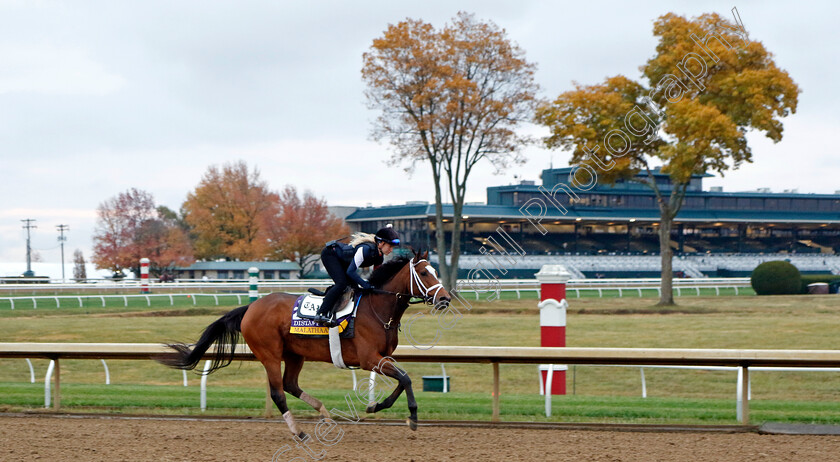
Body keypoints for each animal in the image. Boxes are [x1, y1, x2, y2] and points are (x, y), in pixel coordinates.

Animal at [157, 251, 446, 438]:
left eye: (435, 271)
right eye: (423, 272)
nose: (445, 299)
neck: (377, 308)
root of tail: (251, 307)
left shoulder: (383, 358)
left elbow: (402, 379)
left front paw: (376, 406)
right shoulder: (369, 359)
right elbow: (405, 378)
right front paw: (413, 418)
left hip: (295, 354)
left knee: (290, 385)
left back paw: (324, 414)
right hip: (270, 354)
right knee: (278, 392)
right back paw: (299, 431)